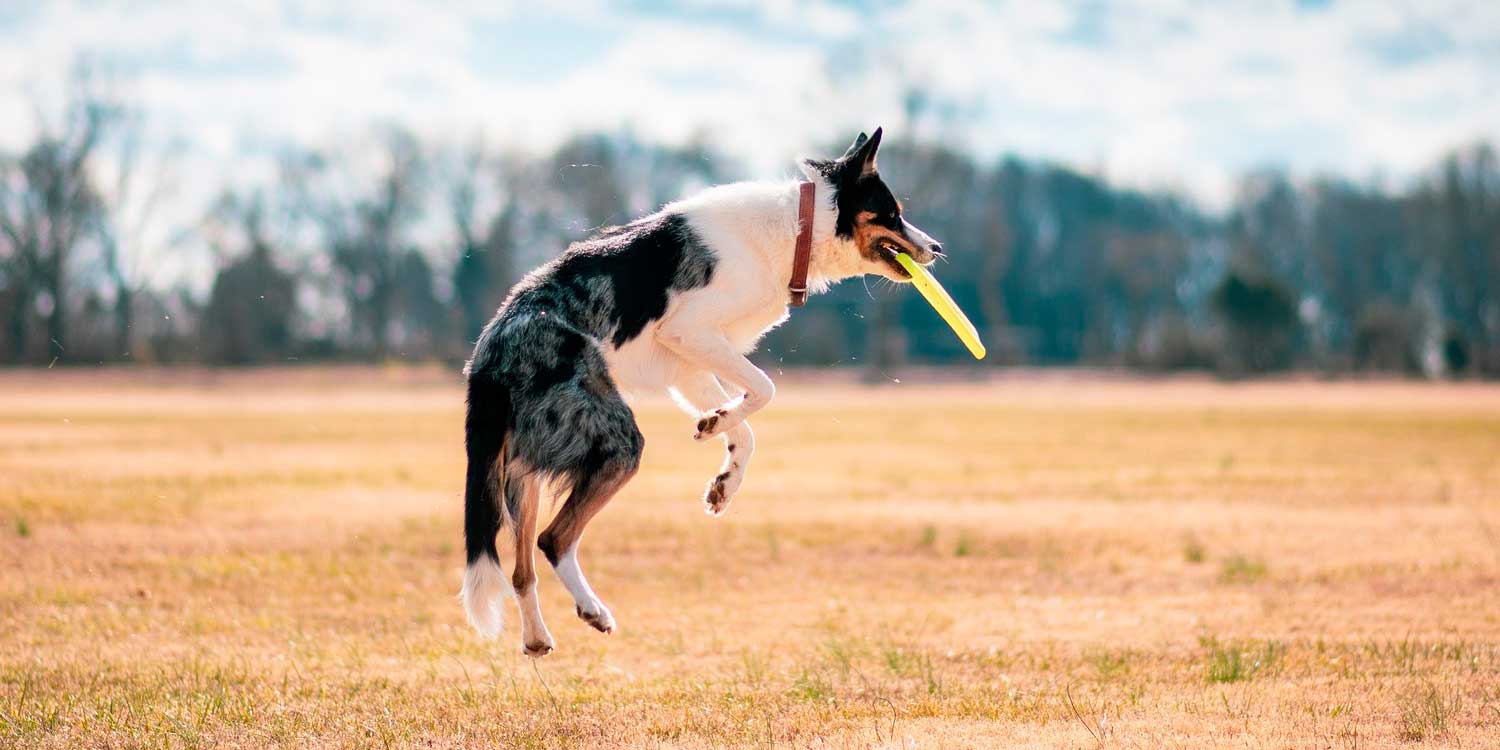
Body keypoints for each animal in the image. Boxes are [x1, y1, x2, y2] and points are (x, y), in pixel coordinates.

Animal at [462, 129, 942, 657]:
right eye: (892, 213)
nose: (938, 248)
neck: (796, 229)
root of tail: (490, 352)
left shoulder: (691, 363)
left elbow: (746, 430)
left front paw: (723, 474)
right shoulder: (690, 332)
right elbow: (765, 390)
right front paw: (718, 424)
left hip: (523, 471)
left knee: (521, 568)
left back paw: (536, 637)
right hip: (614, 441)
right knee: (553, 539)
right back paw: (592, 610)